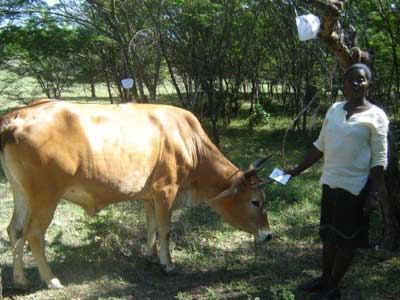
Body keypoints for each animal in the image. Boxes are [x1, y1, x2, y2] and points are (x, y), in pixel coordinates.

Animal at [0, 99, 272, 290]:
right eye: (255, 201)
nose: (269, 235)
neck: (189, 142)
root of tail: (17, 116)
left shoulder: (149, 196)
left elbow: (151, 226)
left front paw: (151, 256)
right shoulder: (166, 190)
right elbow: (165, 229)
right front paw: (168, 264)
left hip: (21, 192)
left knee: (14, 229)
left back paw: (20, 279)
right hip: (46, 196)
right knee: (33, 233)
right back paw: (51, 279)